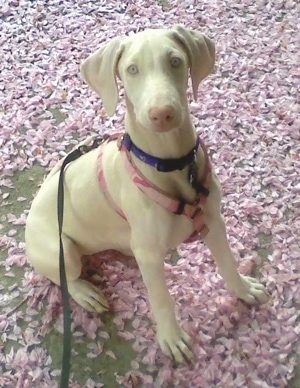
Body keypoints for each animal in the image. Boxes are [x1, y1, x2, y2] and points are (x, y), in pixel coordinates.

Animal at [25, 25, 270, 362]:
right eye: (132, 69)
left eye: (176, 61)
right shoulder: (151, 258)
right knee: (65, 275)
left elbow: (228, 262)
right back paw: (85, 292)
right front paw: (172, 339)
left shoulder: (213, 221)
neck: (170, 163)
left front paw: (243, 290)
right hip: (61, 250)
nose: (162, 113)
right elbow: (161, 299)